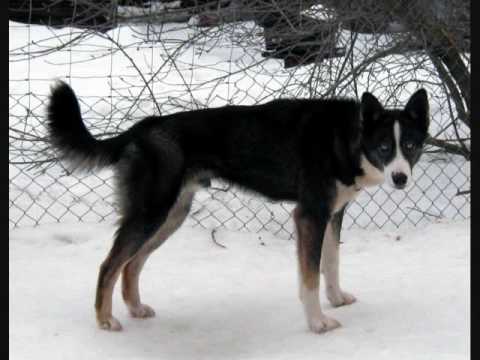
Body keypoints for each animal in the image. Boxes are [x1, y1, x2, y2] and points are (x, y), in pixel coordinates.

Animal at [47, 81, 432, 332]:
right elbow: (309, 277)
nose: (401, 178)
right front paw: (318, 322)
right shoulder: (309, 215)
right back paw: (104, 319)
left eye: (411, 146)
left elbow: (331, 265)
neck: (346, 138)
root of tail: (141, 128)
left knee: (132, 264)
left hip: (171, 216)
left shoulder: (333, 214)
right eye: (384, 147)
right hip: (151, 213)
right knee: (110, 265)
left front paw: (336, 299)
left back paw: (136, 308)